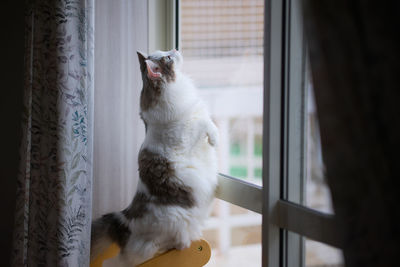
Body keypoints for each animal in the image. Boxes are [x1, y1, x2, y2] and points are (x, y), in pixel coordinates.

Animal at [90, 49, 219, 266]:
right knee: (119, 260)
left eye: (165, 52)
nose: (174, 50)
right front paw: (215, 139)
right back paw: (181, 245)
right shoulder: (186, 132)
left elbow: (205, 118)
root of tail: (122, 220)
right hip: (163, 230)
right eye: (167, 58)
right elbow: (205, 123)